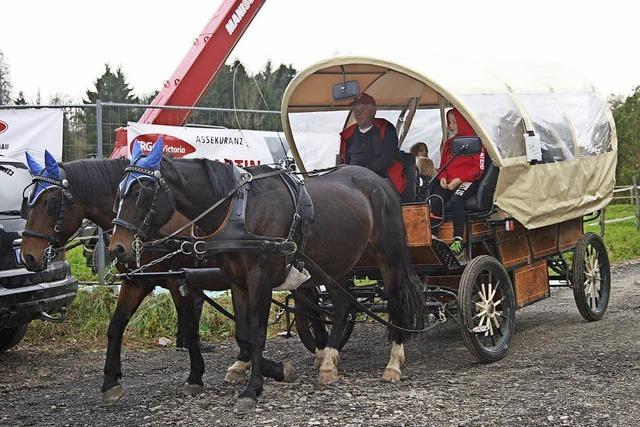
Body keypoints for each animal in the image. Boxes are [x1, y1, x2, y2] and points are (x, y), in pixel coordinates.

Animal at [109, 140, 424, 414]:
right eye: (119, 192)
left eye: (142, 191)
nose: (117, 248)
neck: (239, 210)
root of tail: (380, 183)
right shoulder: (236, 280)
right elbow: (244, 333)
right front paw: (277, 370)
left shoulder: (260, 279)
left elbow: (258, 333)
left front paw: (253, 389)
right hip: (338, 262)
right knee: (343, 305)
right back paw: (328, 362)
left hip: (389, 258)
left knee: (395, 302)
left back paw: (393, 363)